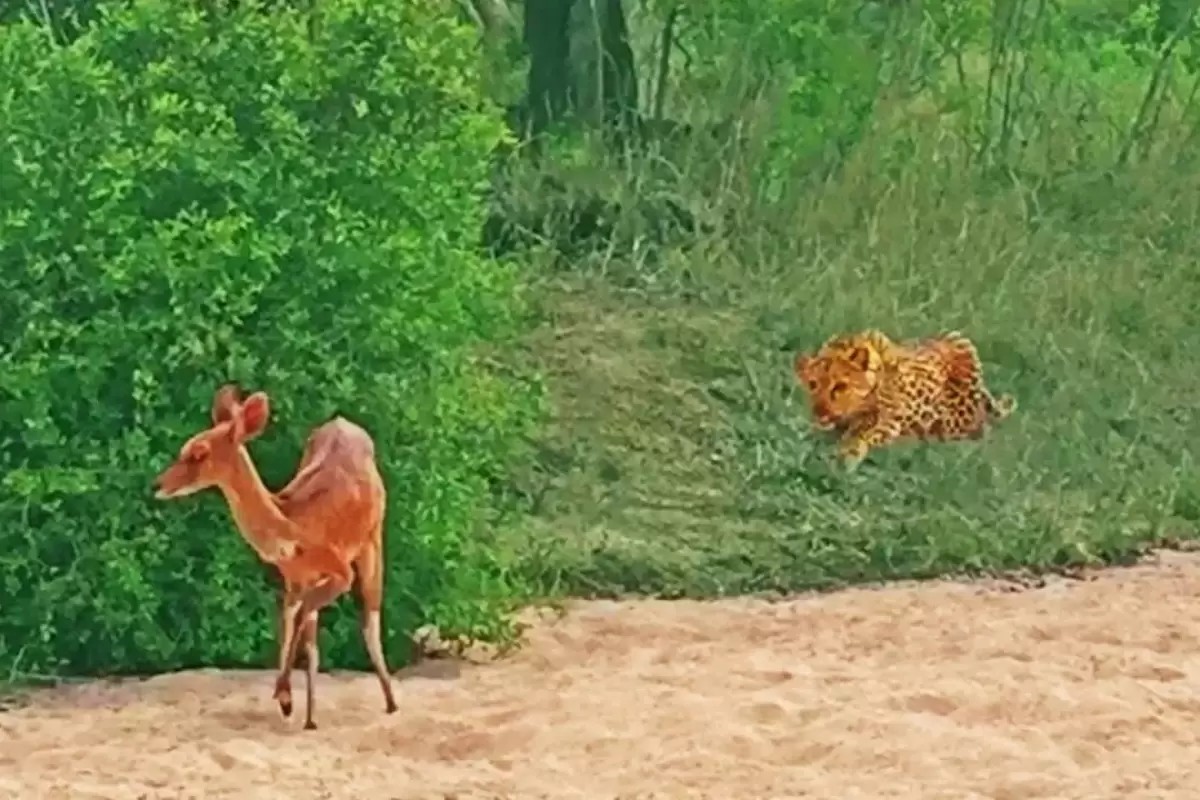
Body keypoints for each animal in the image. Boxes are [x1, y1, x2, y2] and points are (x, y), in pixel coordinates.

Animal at [151, 383, 398, 729]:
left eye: (198, 453)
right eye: (184, 448)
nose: (156, 485)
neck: (294, 529)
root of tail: (344, 421)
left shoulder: (338, 570)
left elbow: (307, 619)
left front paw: (285, 697)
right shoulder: (295, 578)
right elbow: (294, 624)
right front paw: (294, 707)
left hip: (372, 541)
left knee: (370, 618)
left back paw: (391, 703)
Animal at [796, 328, 1012, 470]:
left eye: (840, 386)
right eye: (813, 384)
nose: (820, 412)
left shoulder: (891, 422)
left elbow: (864, 437)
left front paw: (847, 455)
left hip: (960, 341)